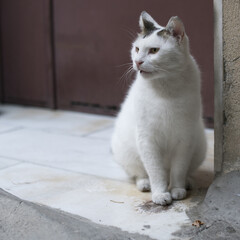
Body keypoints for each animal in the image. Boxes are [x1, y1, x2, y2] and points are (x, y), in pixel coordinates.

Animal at [111, 11, 206, 206]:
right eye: (137, 49)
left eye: (154, 50)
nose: (137, 62)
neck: (165, 87)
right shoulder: (147, 140)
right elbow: (156, 171)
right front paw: (161, 194)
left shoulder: (185, 139)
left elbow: (179, 169)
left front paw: (177, 190)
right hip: (126, 152)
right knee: (139, 173)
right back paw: (145, 184)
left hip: (199, 147)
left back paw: (187, 182)